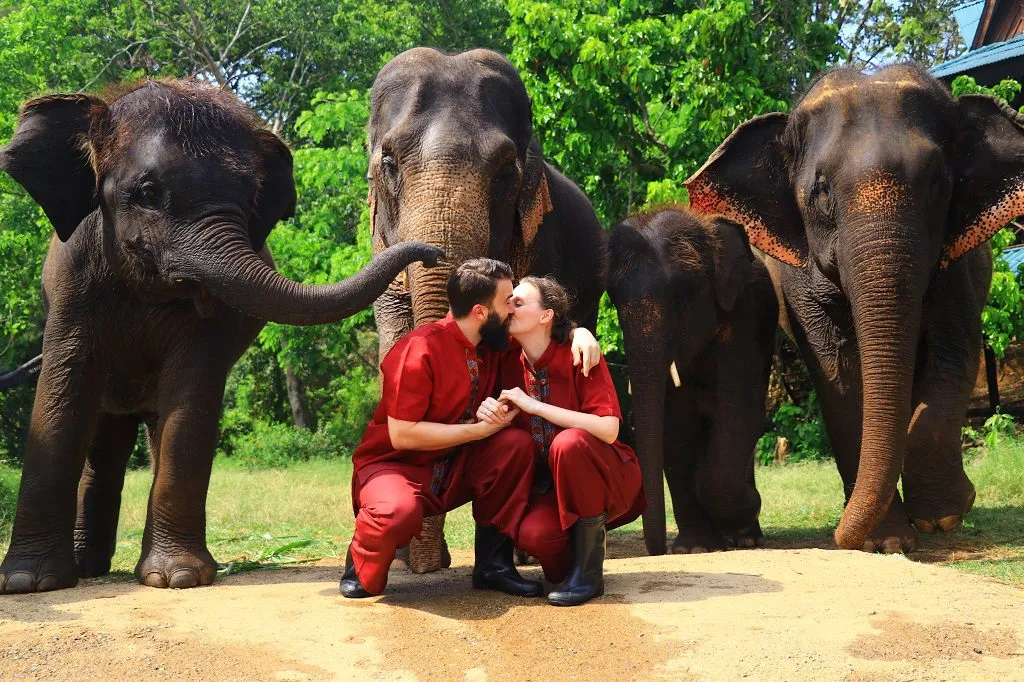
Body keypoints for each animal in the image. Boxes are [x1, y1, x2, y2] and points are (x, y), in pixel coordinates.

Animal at [0, 79, 441, 594]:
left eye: (251, 197)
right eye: (147, 192)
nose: (433, 252)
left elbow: (192, 392)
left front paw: (178, 578)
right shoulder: (73, 280)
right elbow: (63, 383)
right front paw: (27, 582)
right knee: (105, 441)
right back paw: (88, 569)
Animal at [608, 208, 777, 555]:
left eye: (680, 298)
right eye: (614, 301)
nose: (657, 550)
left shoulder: (747, 318)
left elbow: (739, 411)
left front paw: (746, 515)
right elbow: (676, 424)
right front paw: (695, 549)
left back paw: (746, 538)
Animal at [684, 64, 1017, 553]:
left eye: (940, 185)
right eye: (822, 192)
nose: (838, 537)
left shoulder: (955, 261)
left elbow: (954, 349)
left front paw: (942, 517)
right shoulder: (800, 279)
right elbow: (837, 374)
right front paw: (886, 542)